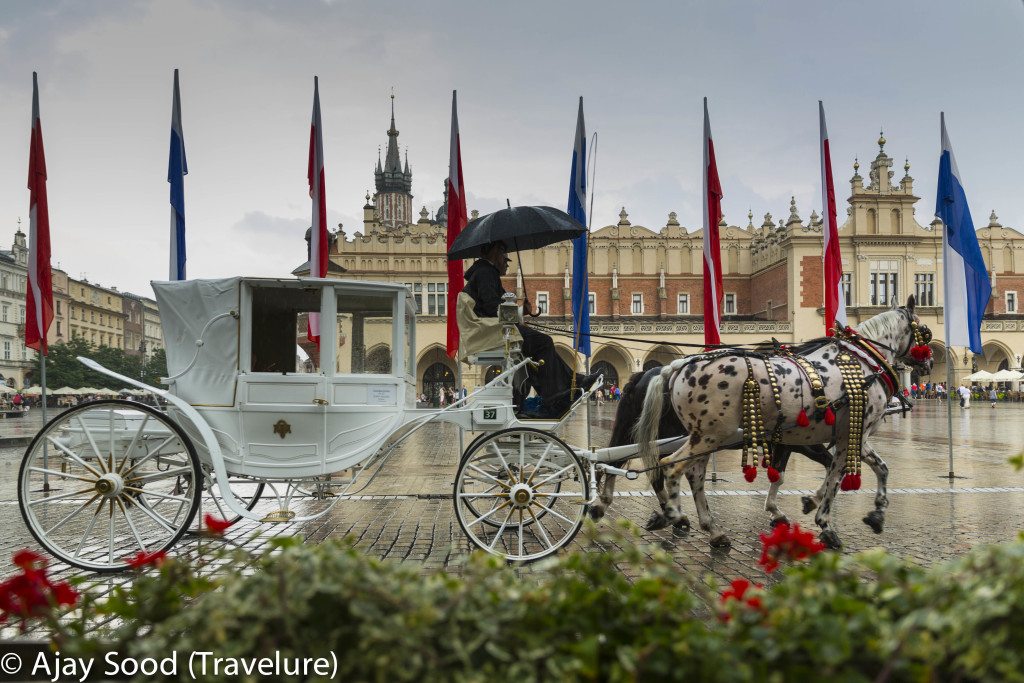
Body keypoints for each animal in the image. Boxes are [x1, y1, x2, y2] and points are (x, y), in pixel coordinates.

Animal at [630, 296, 929, 548]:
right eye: (925, 331)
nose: (929, 364)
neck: (861, 364)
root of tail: (679, 365)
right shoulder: (850, 434)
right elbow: (836, 477)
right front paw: (825, 524)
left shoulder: (849, 436)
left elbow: (879, 468)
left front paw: (873, 514)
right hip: (710, 434)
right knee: (671, 467)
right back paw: (673, 515)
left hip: (705, 435)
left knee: (694, 475)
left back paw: (712, 529)